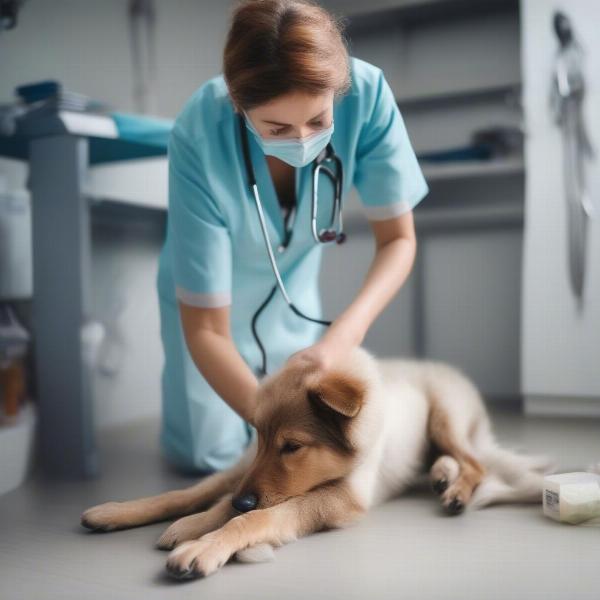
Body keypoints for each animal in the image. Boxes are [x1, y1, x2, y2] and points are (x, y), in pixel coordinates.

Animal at [82, 346, 560, 580]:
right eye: (259, 437)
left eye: (292, 446)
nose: (242, 501)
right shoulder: (242, 471)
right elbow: (191, 493)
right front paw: (121, 512)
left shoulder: (342, 497)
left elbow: (259, 517)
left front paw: (206, 543)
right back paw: (442, 476)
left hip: (445, 414)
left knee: (475, 463)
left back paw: (455, 489)